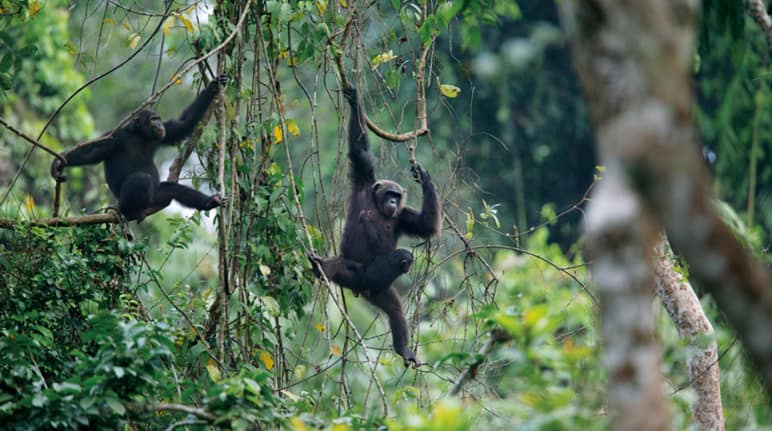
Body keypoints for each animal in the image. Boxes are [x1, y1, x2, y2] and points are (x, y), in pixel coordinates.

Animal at [49, 75, 226, 223]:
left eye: (159, 119)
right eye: (153, 120)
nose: (159, 124)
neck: (141, 135)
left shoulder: (166, 132)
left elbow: (183, 125)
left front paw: (213, 87)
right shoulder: (114, 137)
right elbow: (89, 152)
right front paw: (58, 164)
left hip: (156, 197)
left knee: (173, 189)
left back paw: (209, 202)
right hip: (124, 201)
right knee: (142, 179)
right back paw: (130, 212)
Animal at [308, 87, 440, 368]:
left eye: (397, 196)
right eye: (389, 194)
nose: (392, 201)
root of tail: (361, 289)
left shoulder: (404, 216)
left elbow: (425, 225)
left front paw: (423, 176)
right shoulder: (362, 178)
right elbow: (360, 152)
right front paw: (353, 100)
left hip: (379, 291)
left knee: (395, 308)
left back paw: (403, 348)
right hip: (351, 273)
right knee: (335, 268)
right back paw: (320, 266)